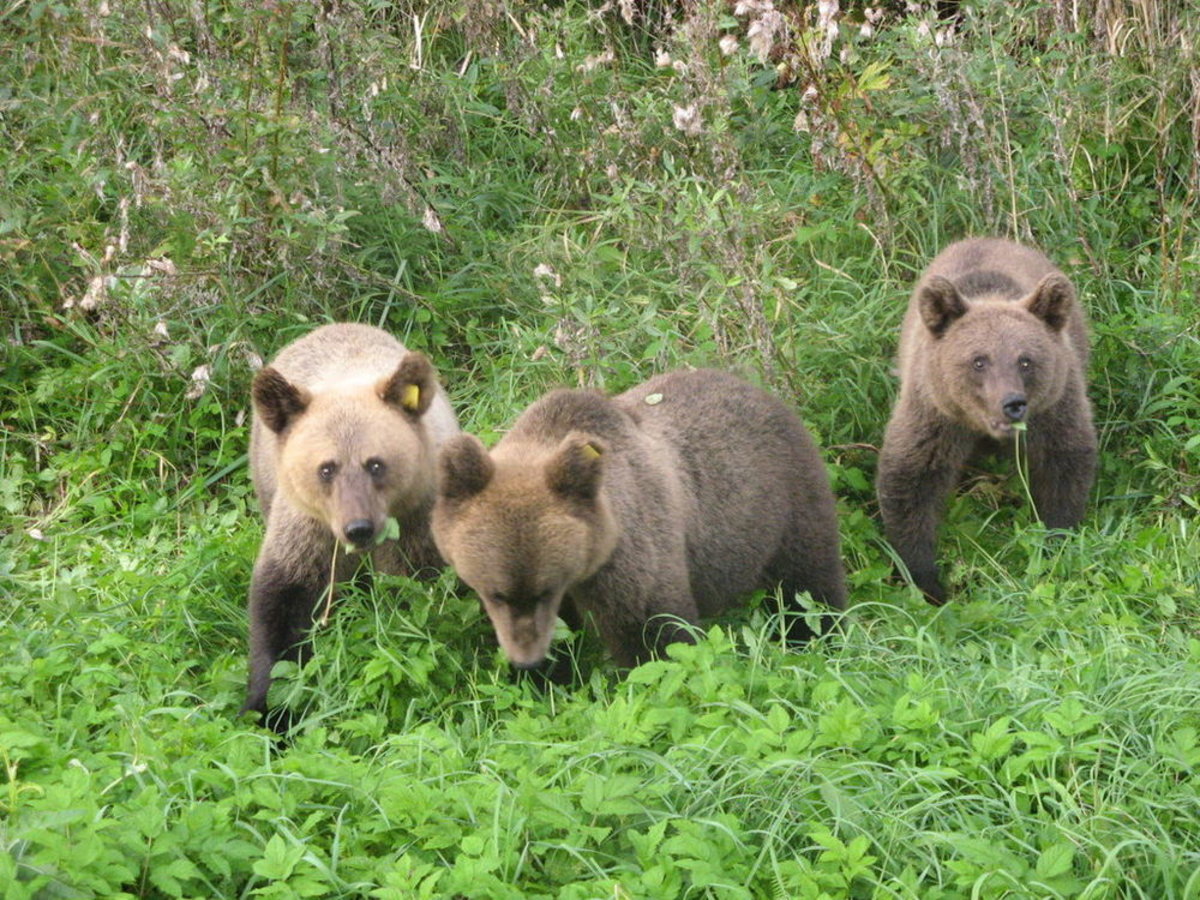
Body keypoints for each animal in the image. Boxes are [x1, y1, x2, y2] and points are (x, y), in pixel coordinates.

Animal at [241, 324, 456, 724]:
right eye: (326, 468)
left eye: (376, 464)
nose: (359, 527)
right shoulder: (308, 529)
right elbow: (283, 605)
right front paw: (267, 709)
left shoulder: (417, 520)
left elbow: (419, 596)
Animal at [429, 367, 844, 672]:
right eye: (495, 592)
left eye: (545, 589)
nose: (526, 661)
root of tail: (761, 391)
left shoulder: (633, 549)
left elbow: (655, 632)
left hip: (785, 501)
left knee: (808, 585)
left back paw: (820, 637)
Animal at [873, 240, 1099, 607]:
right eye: (979, 361)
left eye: (1026, 360)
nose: (1013, 404)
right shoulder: (936, 414)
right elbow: (910, 480)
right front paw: (925, 581)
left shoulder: (1053, 409)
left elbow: (1063, 467)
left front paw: (1055, 542)